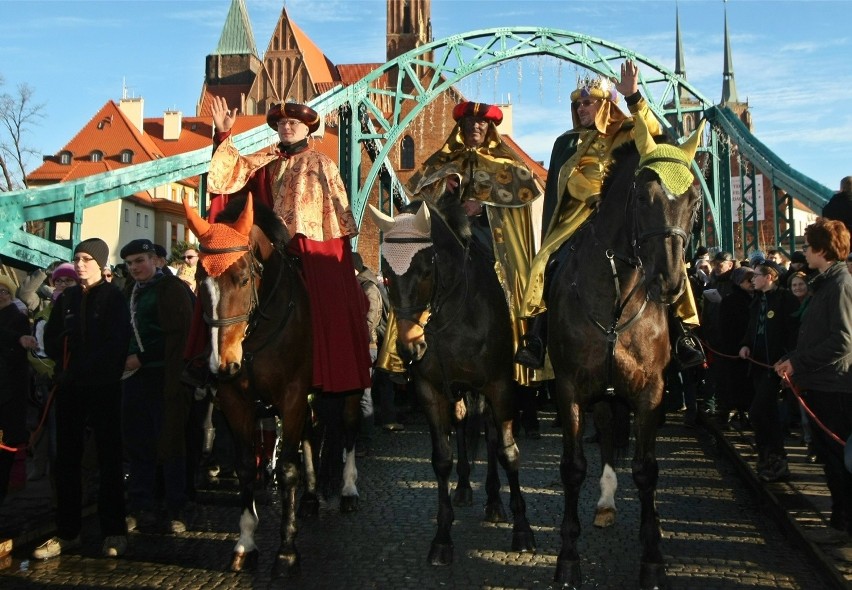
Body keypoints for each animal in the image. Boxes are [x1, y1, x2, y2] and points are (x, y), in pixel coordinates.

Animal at [366, 199, 532, 568]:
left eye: (426, 269)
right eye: (387, 273)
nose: (409, 347)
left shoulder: (500, 386)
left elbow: (508, 452)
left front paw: (522, 529)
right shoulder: (431, 391)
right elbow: (441, 458)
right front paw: (442, 538)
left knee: (490, 433)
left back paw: (494, 501)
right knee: (464, 424)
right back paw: (467, 487)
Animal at [544, 126, 704, 590]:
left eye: (695, 201)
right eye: (645, 196)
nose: (669, 281)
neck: (617, 293)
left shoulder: (651, 391)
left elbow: (647, 470)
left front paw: (653, 559)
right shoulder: (570, 390)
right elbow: (573, 468)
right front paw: (568, 557)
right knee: (607, 435)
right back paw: (605, 504)